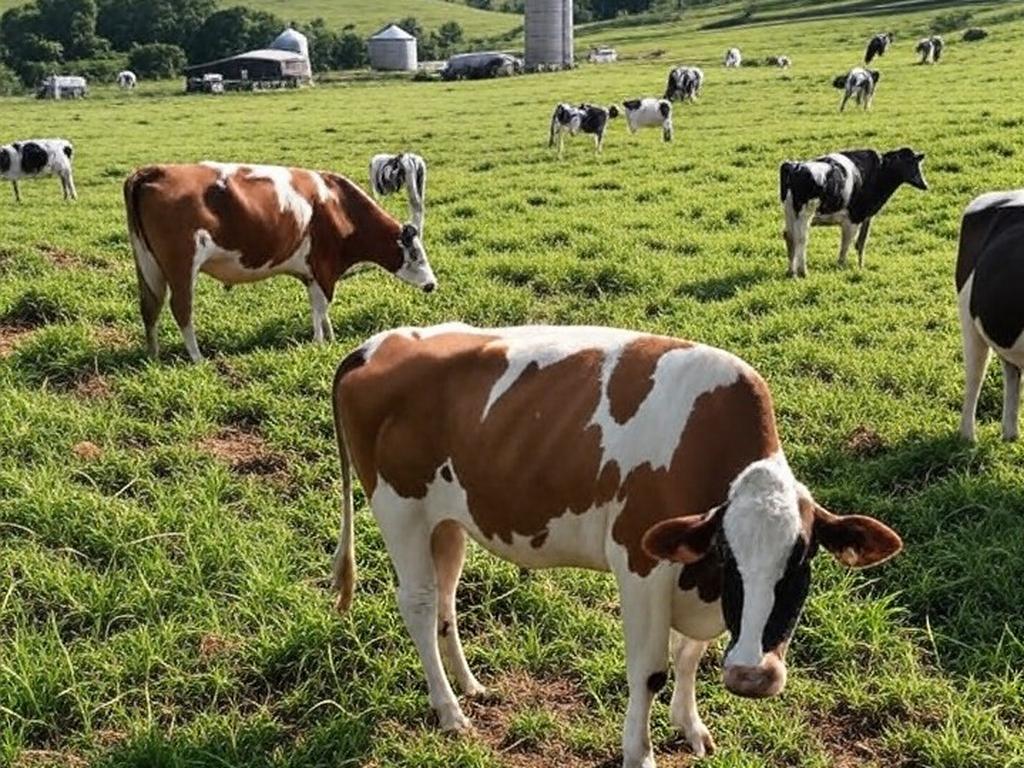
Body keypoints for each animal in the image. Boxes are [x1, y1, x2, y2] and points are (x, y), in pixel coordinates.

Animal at [123, 162, 437, 362]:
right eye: (416, 254)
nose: (432, 285)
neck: (338, 206)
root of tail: (154, 170)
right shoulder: (323, 265)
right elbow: (320, 307)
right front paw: (320, 342)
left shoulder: (312, 273)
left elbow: (320, 308)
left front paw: (330, 337)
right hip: (181, 266)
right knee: (181, 308)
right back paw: (197, 357)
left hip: (149, 266)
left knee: (150, 307)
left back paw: (153, 356)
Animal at [330, 323, 904, 768]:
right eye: (729, 556)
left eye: (801, 560)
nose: (750, 676)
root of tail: (377, 343)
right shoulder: (642, 564)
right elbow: (649, 671)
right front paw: (639, 752)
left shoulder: (693, 574)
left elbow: (690, 654)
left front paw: (690, 726)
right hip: (401, 511)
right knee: (420, 605)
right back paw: (450, 711)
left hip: (446, 522)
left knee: (446, 597)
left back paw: (470, 686)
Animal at [779, 147, 927, 277]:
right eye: (909, 163)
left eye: (916, 164)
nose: (924, 184)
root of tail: (795, 166)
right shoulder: (854, 218)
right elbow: (847, 243)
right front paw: (841, 265)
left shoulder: (866, 216)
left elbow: (861, 243)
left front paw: (860, 266)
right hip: (804, 213)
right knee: (801, 238)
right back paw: (803, 272)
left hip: (790, 211)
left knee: (789, 236)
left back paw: (791, 272)